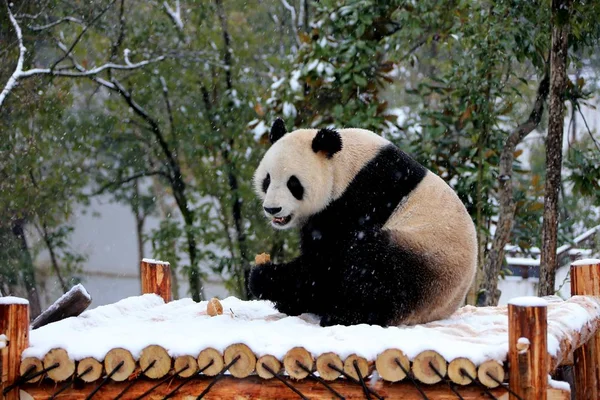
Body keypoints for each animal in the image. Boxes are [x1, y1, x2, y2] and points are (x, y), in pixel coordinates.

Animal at [248, 117, 478, 326]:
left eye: (293, 184)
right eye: (267, 180)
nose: (272, 209)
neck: (343, 167)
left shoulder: (361, 200)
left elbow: (325, 264)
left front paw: (263, 277)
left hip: (423, 255)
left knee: (374, 268)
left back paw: (344, 315)